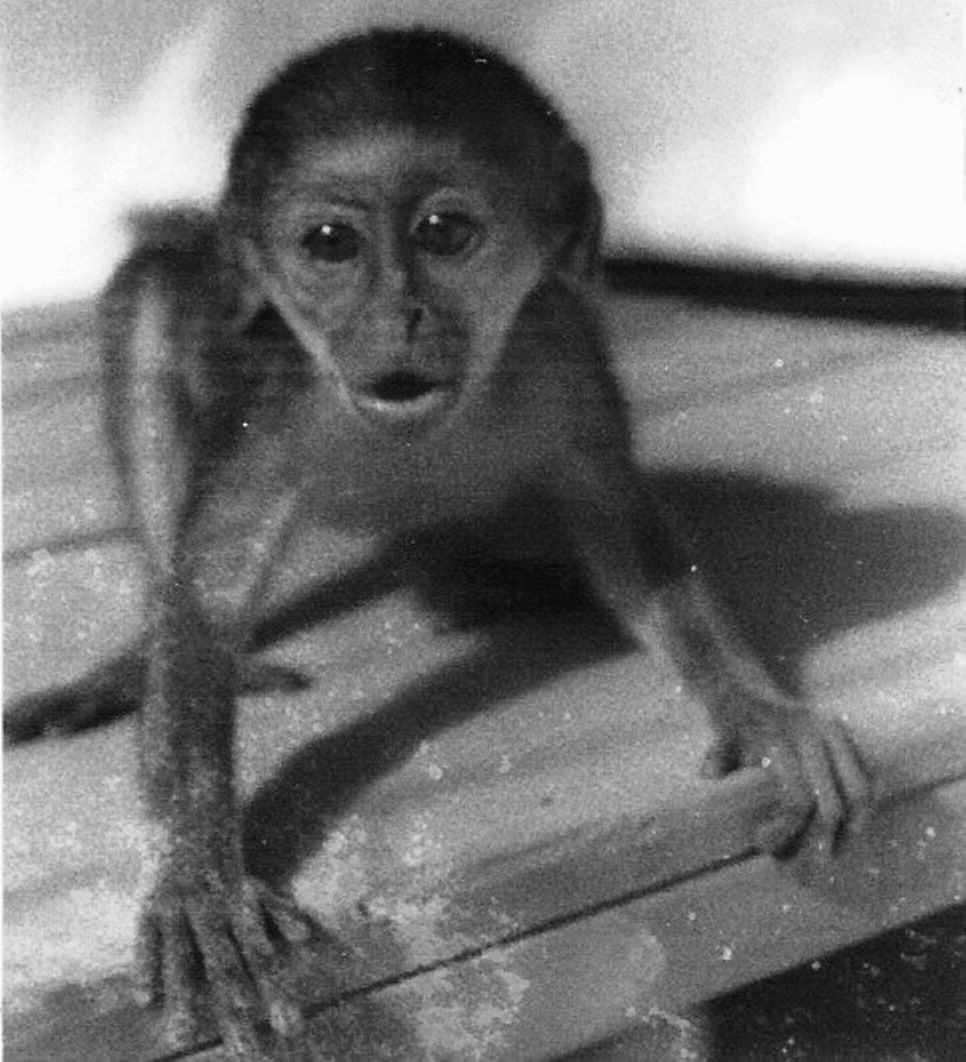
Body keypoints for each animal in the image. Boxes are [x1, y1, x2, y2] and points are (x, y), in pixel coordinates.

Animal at [3, 29, 874, 1057]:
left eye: (445, 234)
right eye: (330, 246)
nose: (399, 315)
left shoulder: (562, 348)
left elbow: (633, 544)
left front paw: (762, 710)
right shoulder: (275, 391)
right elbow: (204, 603)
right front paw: (195, 876)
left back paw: (465, 579)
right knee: (148, 297)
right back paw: (130, 665)